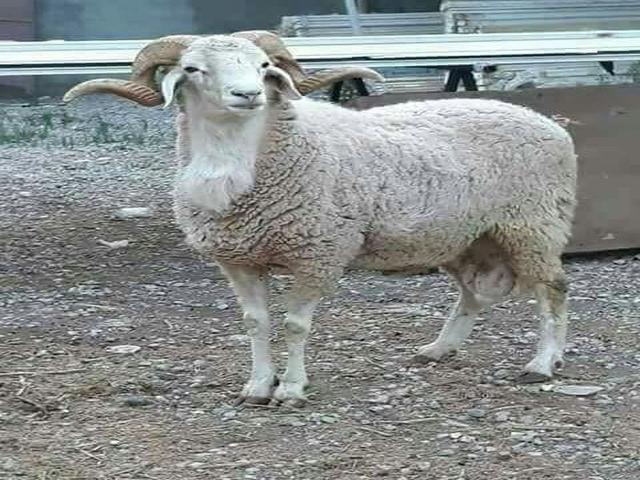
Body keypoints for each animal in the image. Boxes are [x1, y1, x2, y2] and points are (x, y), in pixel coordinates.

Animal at [63, 33, 577, 407]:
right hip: (465, 236)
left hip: (532, 224)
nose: (248, 94)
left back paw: (542, 364)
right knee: (473, 293)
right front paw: (257, 387)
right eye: (193, 69)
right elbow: (254, 322)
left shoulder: (318, 252)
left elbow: (294, 326)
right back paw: (438, 349)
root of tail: (546, 121)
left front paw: (290, 390)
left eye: (263, 66)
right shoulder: (238, 260)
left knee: (553, 289)